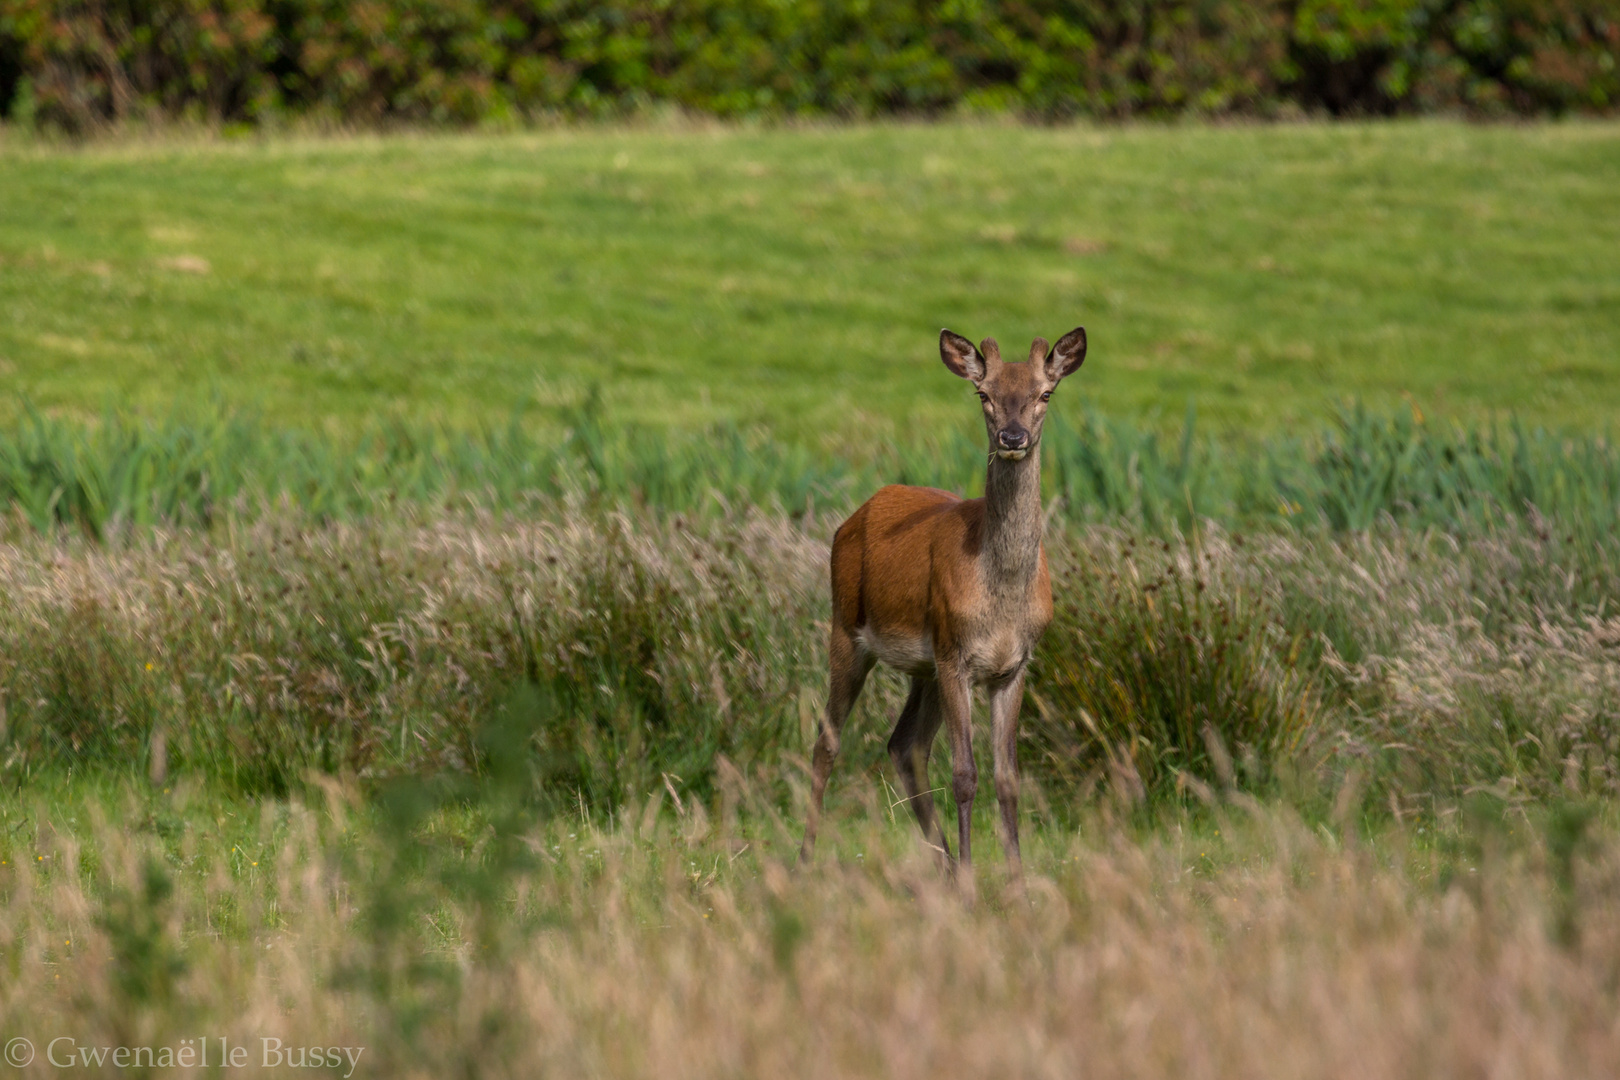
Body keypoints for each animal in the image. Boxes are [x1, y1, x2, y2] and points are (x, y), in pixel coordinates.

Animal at [797, 327, 1088, 880]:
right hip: (846, 626)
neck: (1001, 600)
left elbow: (1007, 778)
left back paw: (945, 870)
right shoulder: (956, 655)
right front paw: (976, 881)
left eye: (1045, 393)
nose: (1012, 438)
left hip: (923, 667)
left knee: (904, 744)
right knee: (827, 740)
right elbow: (965, 775)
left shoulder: (1014, 665)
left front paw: (1017, 883)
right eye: (983, 394)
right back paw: (804, 858)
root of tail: (854, 516)